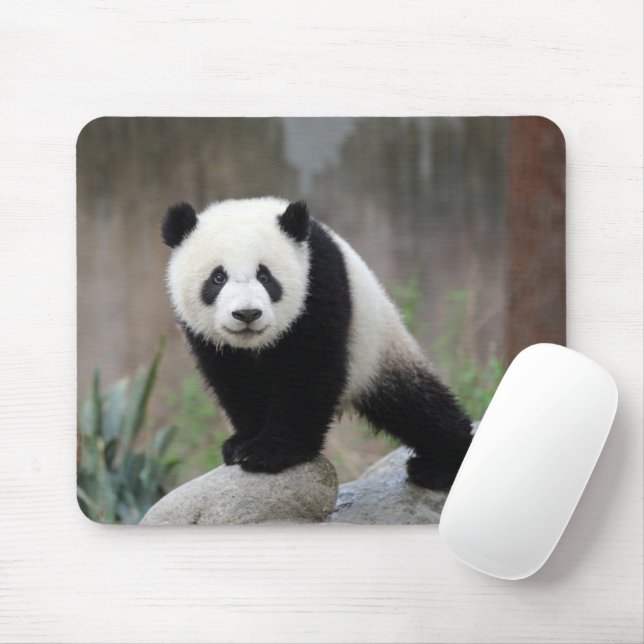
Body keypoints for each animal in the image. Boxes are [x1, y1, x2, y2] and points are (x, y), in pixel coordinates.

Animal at [162, 197, 472, 490]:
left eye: (265, 276)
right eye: (218, 277)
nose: (247, 314)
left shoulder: (318, 284)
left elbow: (309, 371)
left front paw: (269, 452)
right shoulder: (209, 339)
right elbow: (235, 382)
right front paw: (241, 443)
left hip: (378, 347)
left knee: (417, 405)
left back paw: (440, 465)